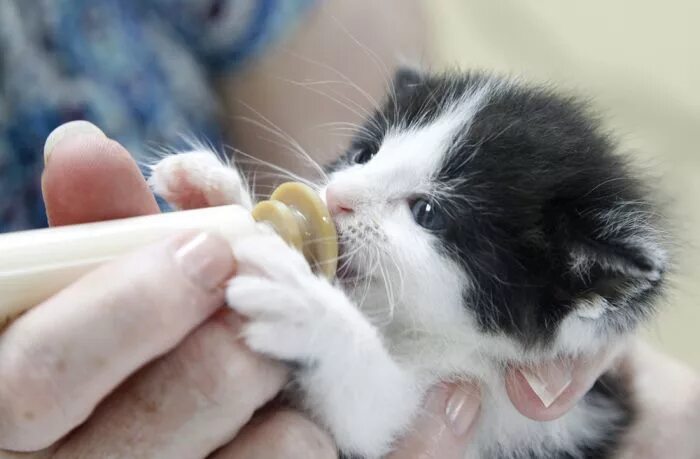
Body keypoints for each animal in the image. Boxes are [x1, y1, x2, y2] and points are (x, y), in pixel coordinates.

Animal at [149, 70, 668, 458]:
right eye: (364, 154)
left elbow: (372, 413)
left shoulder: (510, 422)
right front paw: (212, 190)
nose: (337, 198)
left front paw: (306, 309)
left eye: (427, 212)